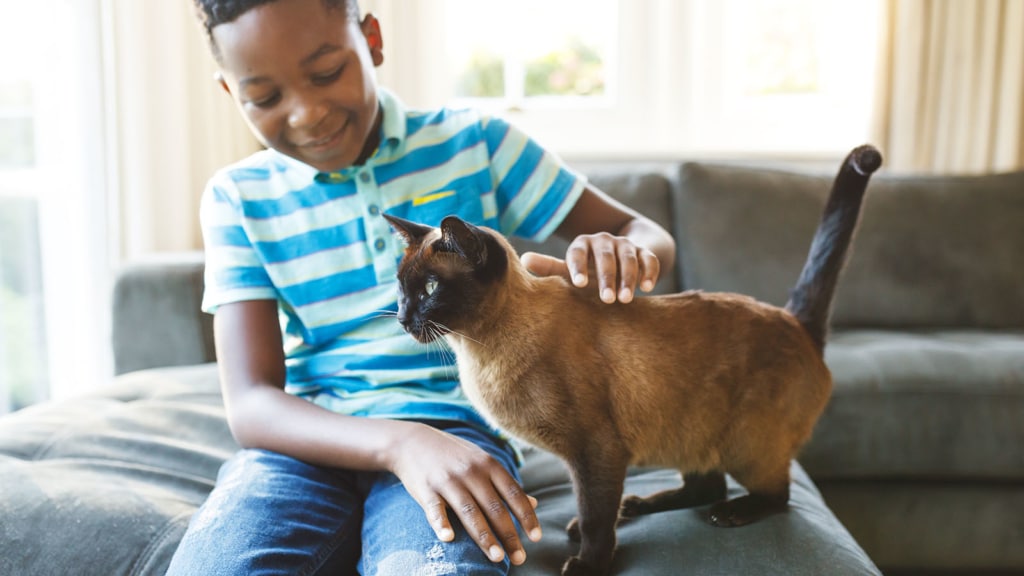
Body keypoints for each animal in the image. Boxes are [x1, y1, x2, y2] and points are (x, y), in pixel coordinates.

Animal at [385, 143, 880, 573]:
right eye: (402, 289)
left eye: (430, 289)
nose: (404, 319)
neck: (477, 352)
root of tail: (796, 320)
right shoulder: (591, 460)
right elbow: (592, 513)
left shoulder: (596, 453)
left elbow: (594, 518)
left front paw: (588, 565)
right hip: (690, 434)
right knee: (705, 484)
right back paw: (638, 504)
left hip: (745, 448)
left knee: (776, 495)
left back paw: (727, 512)